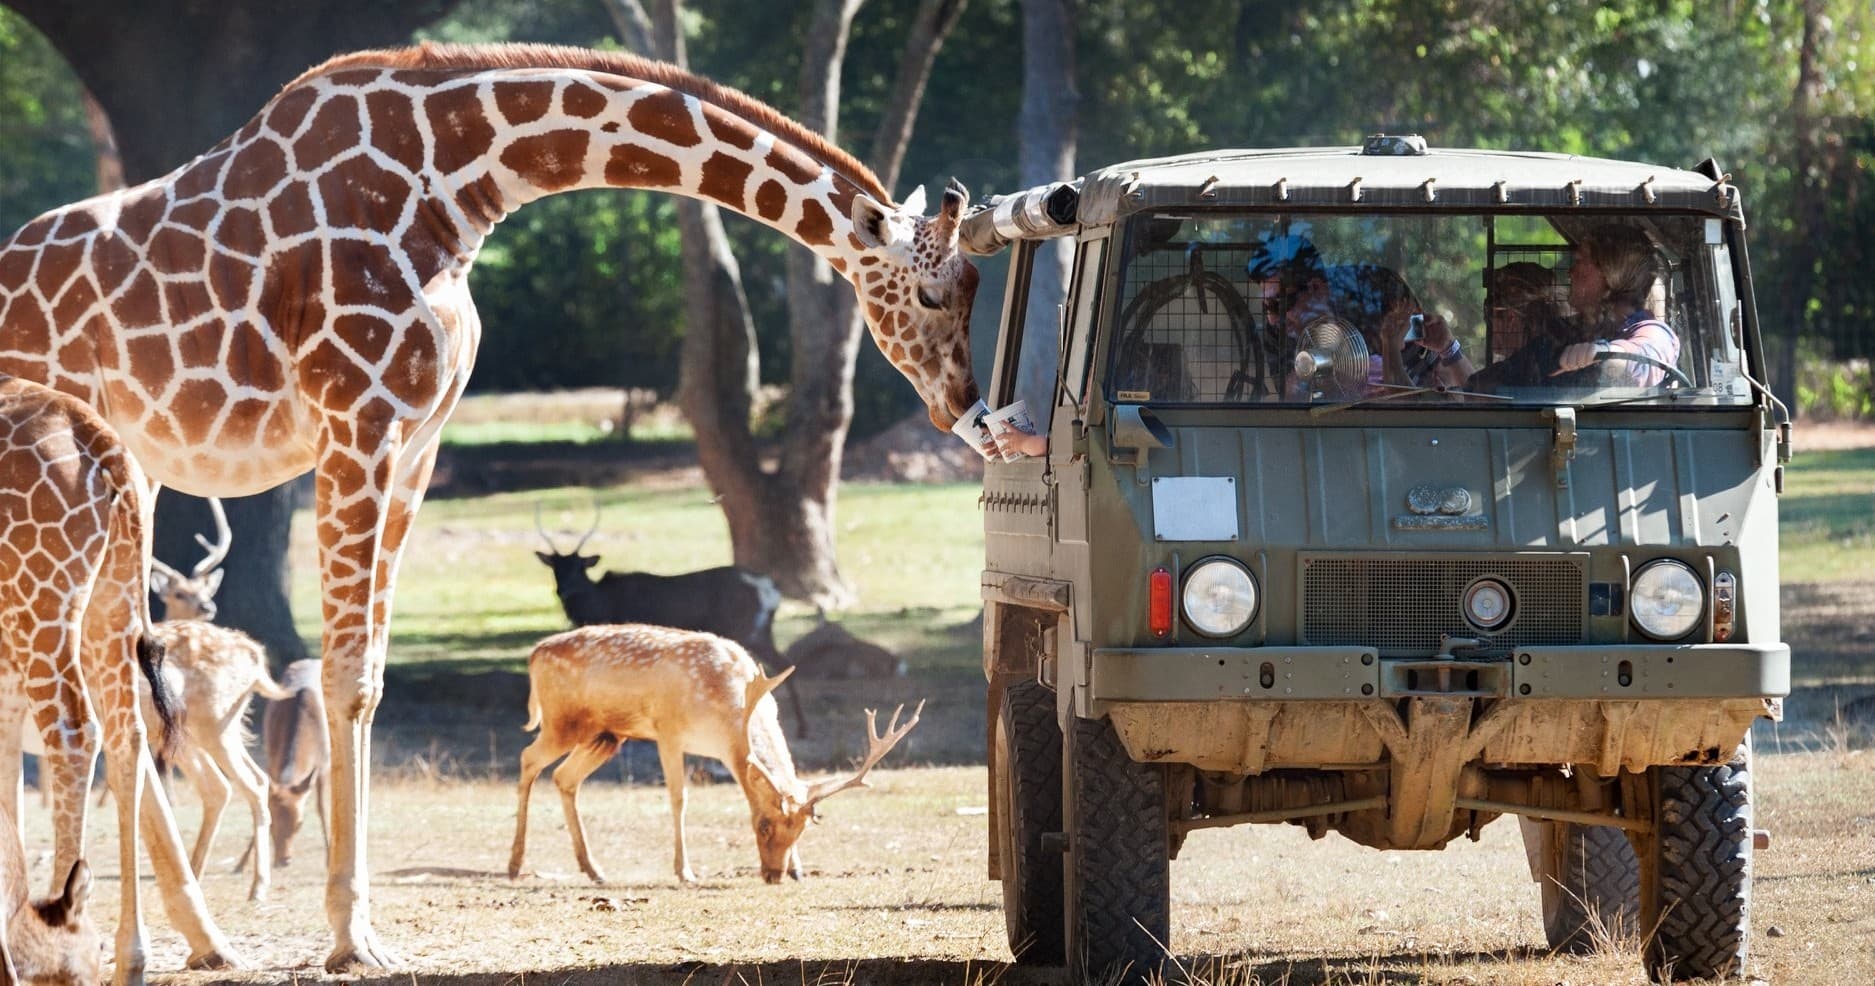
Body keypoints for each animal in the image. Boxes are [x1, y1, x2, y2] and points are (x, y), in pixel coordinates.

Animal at [0, 376, 235, 985]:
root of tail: (100, 442)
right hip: (111, 600)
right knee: (125, 733)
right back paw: (129, 958)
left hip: (46, 604)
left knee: (74, 729)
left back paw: (65, 933)